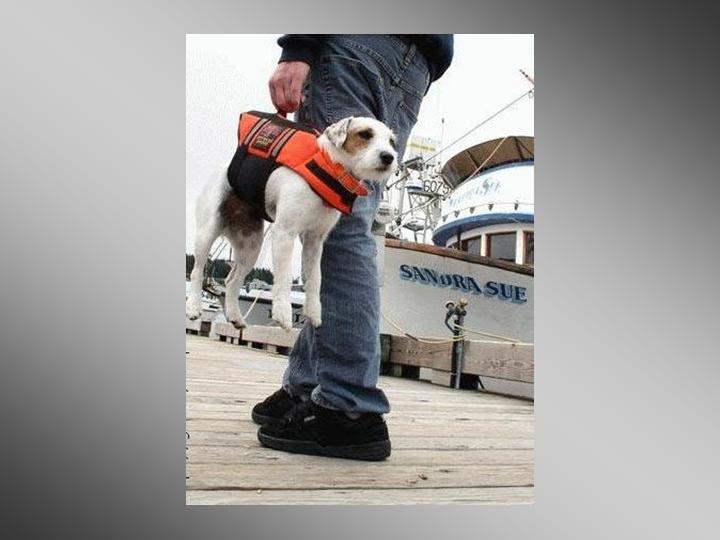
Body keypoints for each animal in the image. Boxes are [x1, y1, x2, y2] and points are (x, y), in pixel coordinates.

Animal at [186, 114, 398, 331]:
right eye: (365, 134)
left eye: (391, 142)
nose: (389, 157)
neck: (329, 167)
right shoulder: (284, 233)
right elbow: (285, 276)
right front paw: (282, 313)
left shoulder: (315, 241)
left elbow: (315, 279)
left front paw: (313, 312)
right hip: (207, 232)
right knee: (197, 271)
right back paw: (193, 307)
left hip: (250, 247)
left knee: (232, 280)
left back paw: (235, 316)